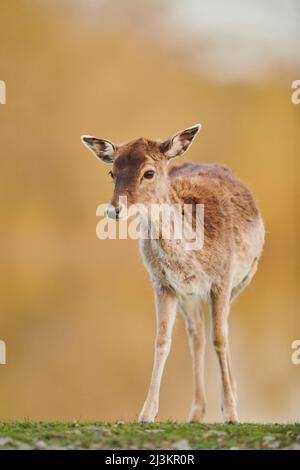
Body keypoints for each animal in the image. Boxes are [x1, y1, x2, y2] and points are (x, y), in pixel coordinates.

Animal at [81, 124, 264, 422]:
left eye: (149, 172)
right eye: (112, 172)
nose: (114, 210)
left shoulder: (222, 279)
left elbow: (220, 338)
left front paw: (231, 413)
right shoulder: (163, 283)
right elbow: (162, 340)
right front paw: (145, 413)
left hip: (244, 279)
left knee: (220, 329)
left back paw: (230, 395)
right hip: (189, 296)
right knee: (197, 334)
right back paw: (197, 411)